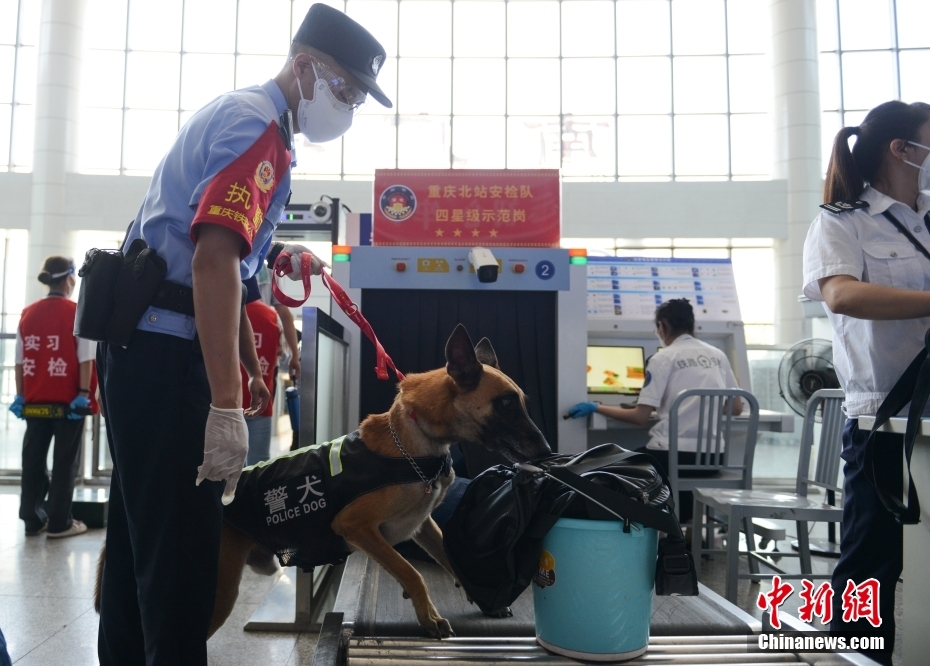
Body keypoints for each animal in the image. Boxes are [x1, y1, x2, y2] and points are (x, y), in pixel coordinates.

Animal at [92, 324, 552, 636]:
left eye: (521, 402)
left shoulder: (425, 528)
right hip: (217, 596)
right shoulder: (358, 528)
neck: (415, 444)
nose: (546, 450)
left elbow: (453, 559)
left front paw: (483, 598)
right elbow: (412, 572)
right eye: (506, 404)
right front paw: (429, 615)